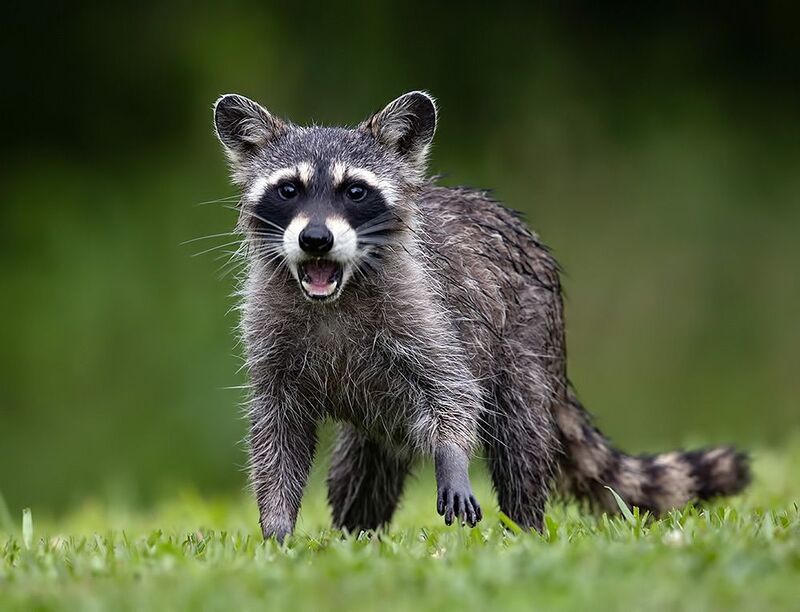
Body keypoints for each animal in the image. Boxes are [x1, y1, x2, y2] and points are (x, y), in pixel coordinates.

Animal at [212, 91, 750, 542]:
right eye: (288, 189)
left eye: (355, 191)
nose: (316, 240)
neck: (334, 295)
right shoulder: (270, 338)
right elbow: (276, 436)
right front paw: (277, 525)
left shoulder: (428, 311)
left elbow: (454, 392)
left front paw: (452, 458)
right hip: (378, 422)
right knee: (361, 470)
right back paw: (356, 533)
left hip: (527, 341)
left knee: (520, 439)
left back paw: (525, 527)